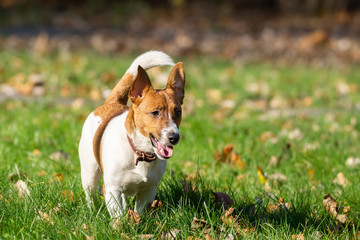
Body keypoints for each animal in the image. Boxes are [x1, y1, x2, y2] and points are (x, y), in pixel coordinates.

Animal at [79, 51, 186, 218]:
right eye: (155, 112)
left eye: (178, 112)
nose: (174, 137)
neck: (140, 151)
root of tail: (111, 103)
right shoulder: (112, 189)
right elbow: (118, 215)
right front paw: (121, 224)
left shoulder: (148, 190)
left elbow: (139, 211)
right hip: (89, 172)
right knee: (90, 194)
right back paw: (92, 211)